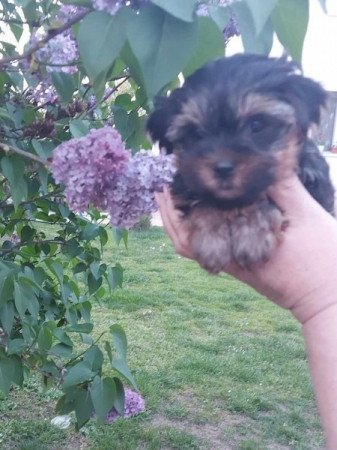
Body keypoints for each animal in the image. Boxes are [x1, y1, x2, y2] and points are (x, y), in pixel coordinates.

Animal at [147, 56, 334, 274]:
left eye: (257, 125)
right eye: (196, 134)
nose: (223, 168)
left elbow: (263, 201)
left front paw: (252, 236)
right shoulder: (185, 185)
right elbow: (202, 203)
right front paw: (211, 241)